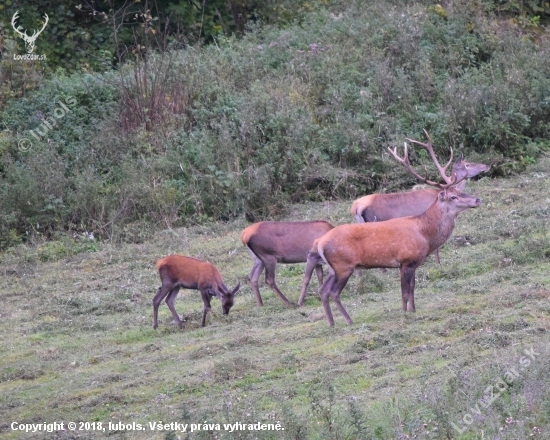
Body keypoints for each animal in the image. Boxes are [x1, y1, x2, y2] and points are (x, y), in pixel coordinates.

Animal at [302, 141, 484, 326]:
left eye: (460, 192)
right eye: (453, 196)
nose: (477, 200)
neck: (425, 234)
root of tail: (319, 242)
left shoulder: (414, 263)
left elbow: (412, 288)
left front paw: (413, 310)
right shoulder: (405, 260)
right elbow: (404, 292)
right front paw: (405, 314)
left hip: (334, 268)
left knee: (323, 290)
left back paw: (332, 323)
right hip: (343, 265)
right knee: (333, 292)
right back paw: (348, 320)